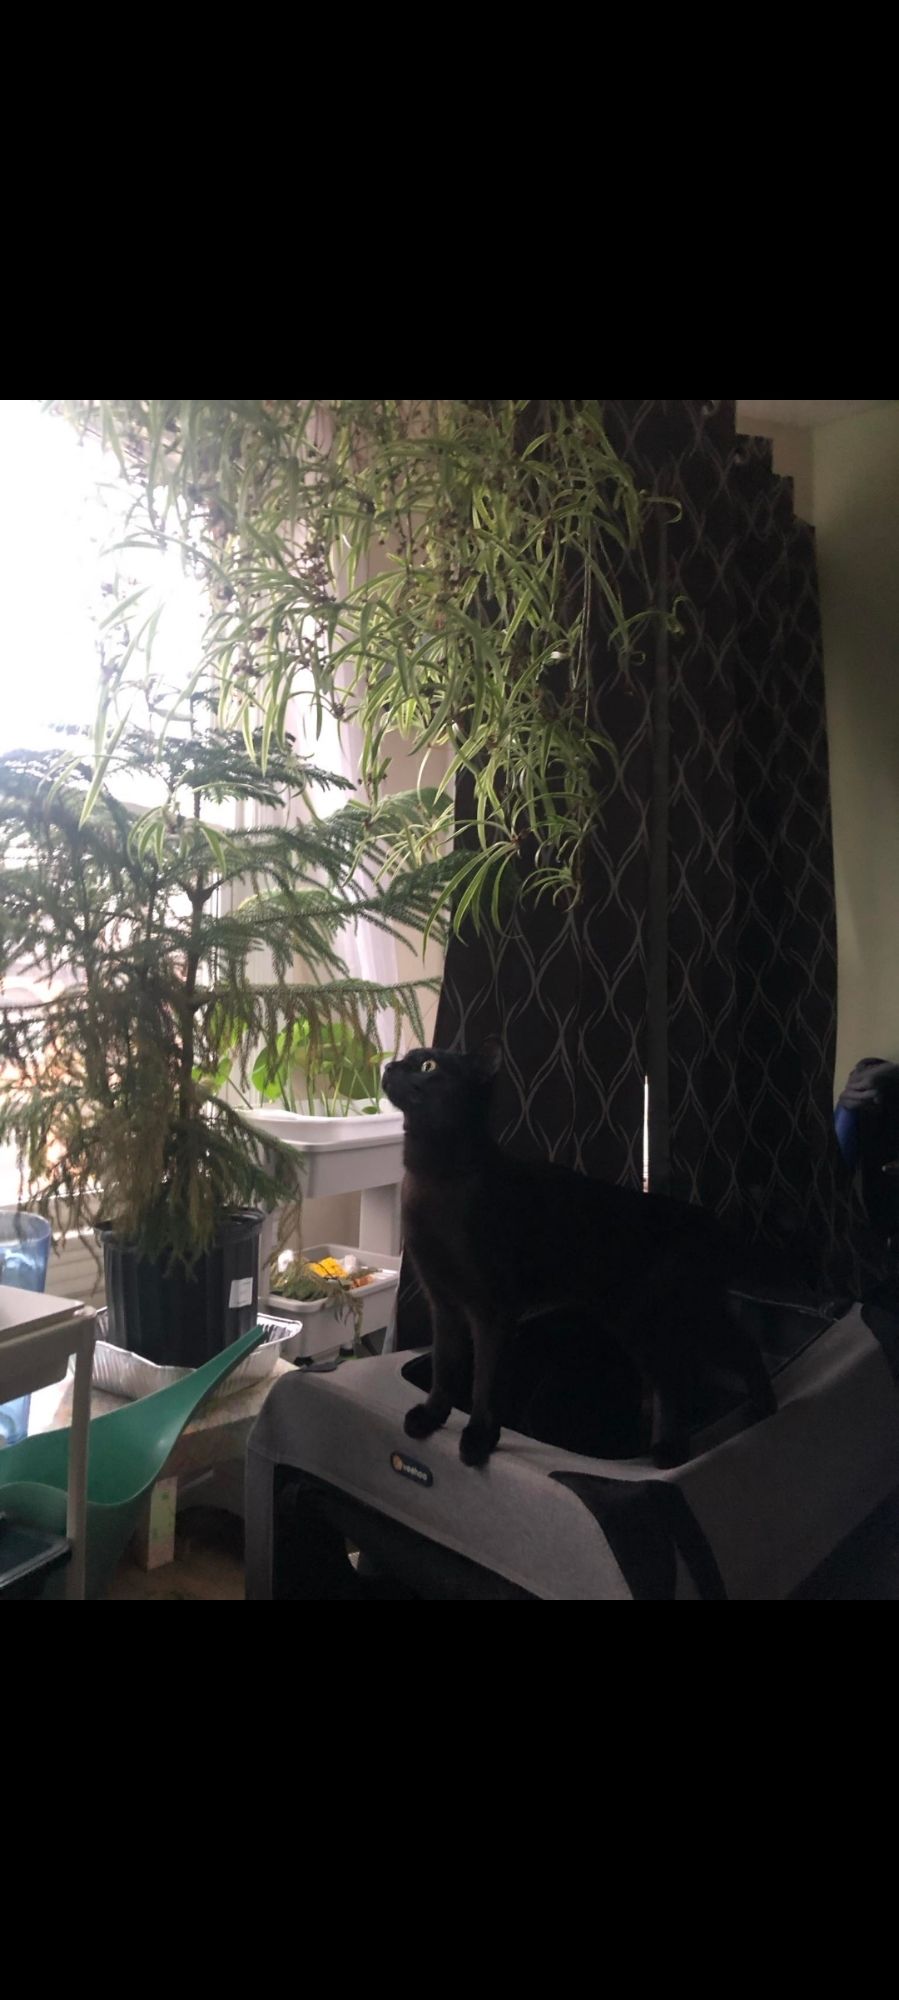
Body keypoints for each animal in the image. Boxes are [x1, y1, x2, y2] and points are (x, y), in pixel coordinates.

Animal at [383, 1048, 775, 1472]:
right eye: (405, 1059)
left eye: (428, 1066)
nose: (388, 1066)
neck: (433, 1176)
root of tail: (708, 1219)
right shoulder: (442, 1301)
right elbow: (444, 1364)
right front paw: (432, 1416)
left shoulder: (492, 1310)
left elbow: (484, 1379)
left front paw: (479, 1438)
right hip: (639, 1325)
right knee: (673, 1378)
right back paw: (671, 1443)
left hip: (675, 1315)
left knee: (731, 1353)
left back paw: (754, 1413)